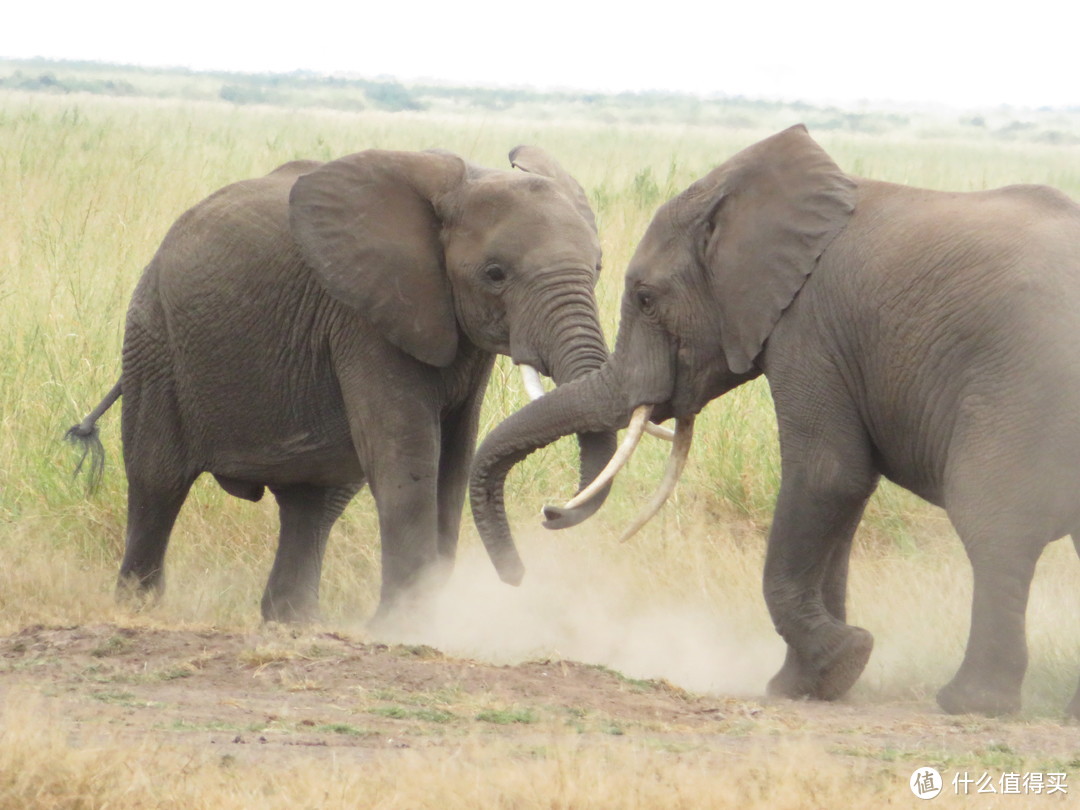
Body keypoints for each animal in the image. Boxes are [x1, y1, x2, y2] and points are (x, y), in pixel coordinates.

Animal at [69, 145, 617, 626]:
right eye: (495, 273)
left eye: (598, 268)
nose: (549, 516)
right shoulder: (364, 317)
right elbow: (408, 455)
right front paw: (403, 626)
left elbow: (455, 461)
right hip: (154, 334)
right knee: (156, 478)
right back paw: (138, 608)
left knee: (315, 501)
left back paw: (295, 622)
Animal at [475, 123, 1080, 721]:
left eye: (646, 299)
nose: (548, 516)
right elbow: (843, 498)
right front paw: (811, 683)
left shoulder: (810, 328)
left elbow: (828, 475)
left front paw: (837, 662)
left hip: (1020, 382)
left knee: (990, 518)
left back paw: (970, 703)